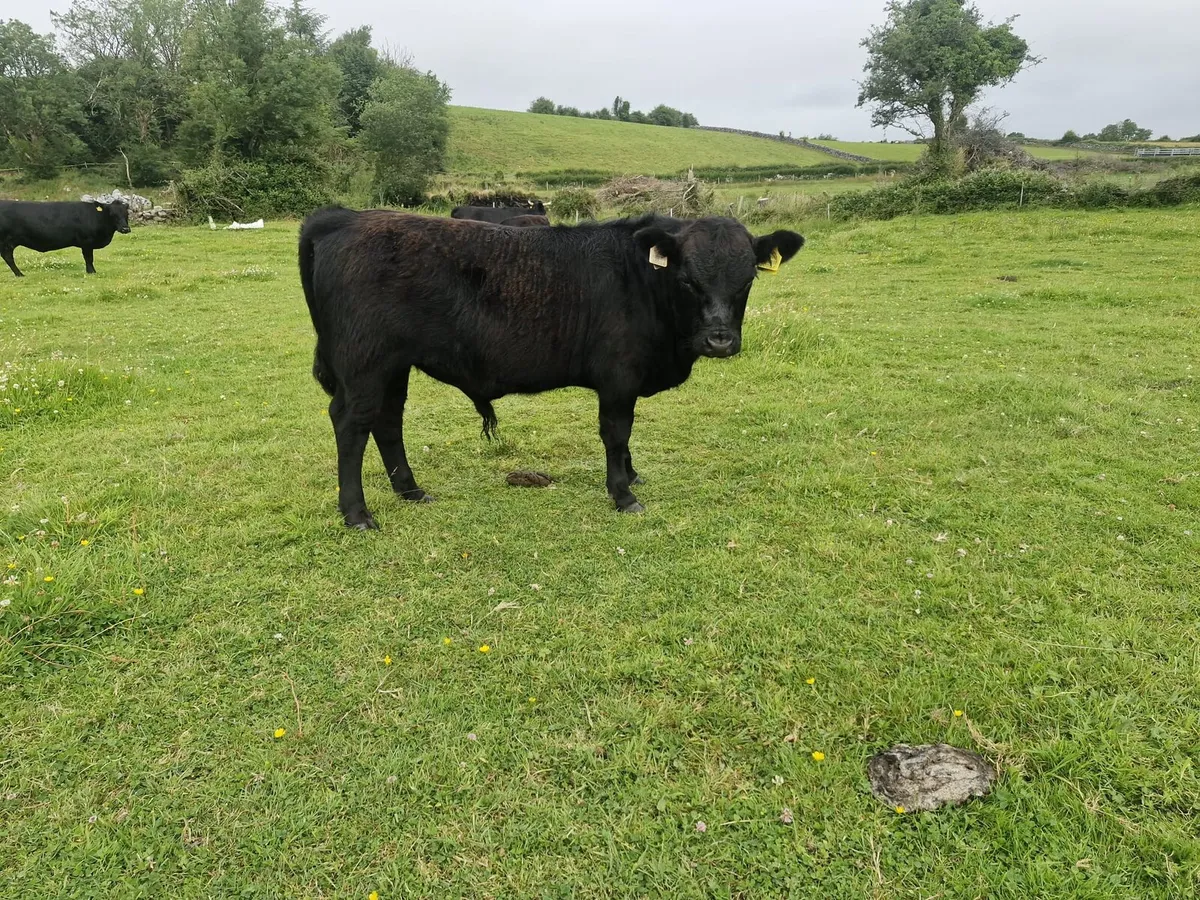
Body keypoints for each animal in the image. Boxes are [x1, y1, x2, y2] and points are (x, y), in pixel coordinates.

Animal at [0, 199, 131, 277]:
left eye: (126, 213)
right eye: (112, 214)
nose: (125, 229)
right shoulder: (86, 242)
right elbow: (89, 258)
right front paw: (91, 272)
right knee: (8, 257)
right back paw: (20, 274)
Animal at [298, 208, 804, 529]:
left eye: (748, 279)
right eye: (686, 280)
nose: (719, 340)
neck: (642, 280)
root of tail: (342, 218)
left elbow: (626, 436)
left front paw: (631, 474)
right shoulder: (618, 378)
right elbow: (617, 432)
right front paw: (623, 493)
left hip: (393, 366)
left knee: (388, 421)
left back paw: (411, 491)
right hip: (363, 365)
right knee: (352, 423)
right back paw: (357, 513)